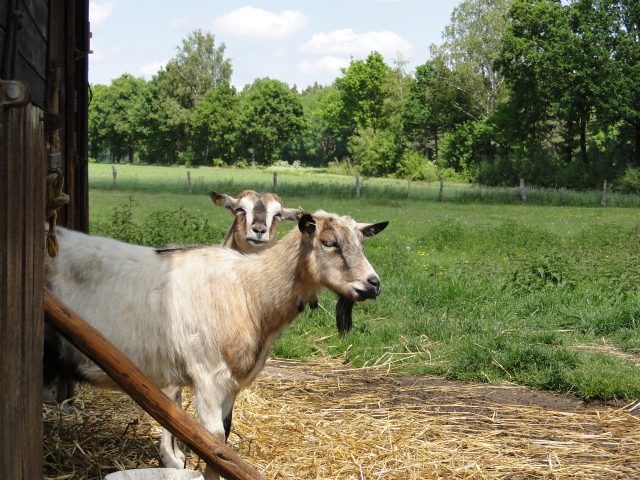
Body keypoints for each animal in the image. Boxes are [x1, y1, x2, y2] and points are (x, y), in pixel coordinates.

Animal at [45, 210, 388, 480]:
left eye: (362, 243)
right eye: (329, 243)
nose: (373, 284)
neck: (249, 293)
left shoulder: (230, 385)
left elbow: (223, 436)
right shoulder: (208, 377)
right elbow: (213, 443)